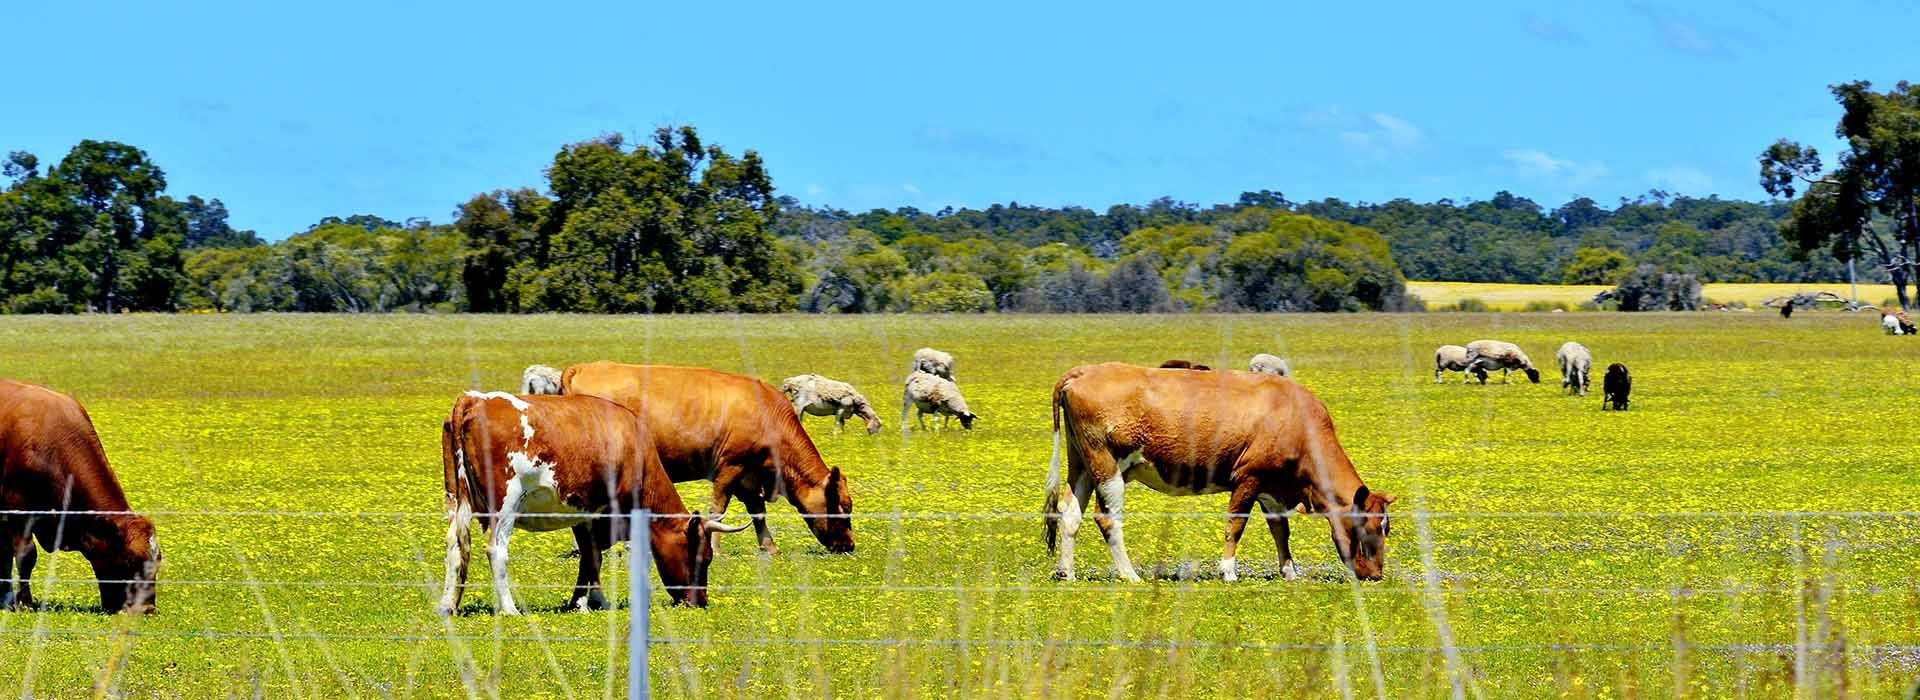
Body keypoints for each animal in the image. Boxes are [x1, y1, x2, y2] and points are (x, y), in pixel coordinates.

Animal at [0, 380, 160, 613]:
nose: (146, 609)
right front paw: (24, 603)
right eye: (130, 560)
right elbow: (25, 555)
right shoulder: (17, 510)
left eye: (157, 562)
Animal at [439, 391, 748, 614]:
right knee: (496, 551)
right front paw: (586, 602)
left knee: (455, 546)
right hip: (505, 504)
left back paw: (447, 605)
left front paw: (589, 601)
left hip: (456, 500)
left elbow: (592, 555)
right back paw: (510, 608)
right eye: (703, 558)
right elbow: (598, 557)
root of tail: (474, 398)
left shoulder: (584, 511)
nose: (699, 602)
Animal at [555, 362, 855, 555]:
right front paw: (716, 548)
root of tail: (581, 368)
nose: (849, 545)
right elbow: (718, 511)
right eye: (844, 506)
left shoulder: (749, 475)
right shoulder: (730, 467)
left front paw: (770, 548)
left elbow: (757, 512)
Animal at [1042, 364, 1394, 583]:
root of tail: (1085, 371)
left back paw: (1066, 572)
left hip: (1082, 464)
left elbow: (1281, 531)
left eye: (1386, 528)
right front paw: (1228, 571)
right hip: (1107, 467)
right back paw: (1129, 574)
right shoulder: (1249, 477)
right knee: (1107, 518)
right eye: (1368, 526)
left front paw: (1290, 572)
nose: (1376, 575)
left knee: (1069, 514)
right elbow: (1235, 525)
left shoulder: (1272, 487)